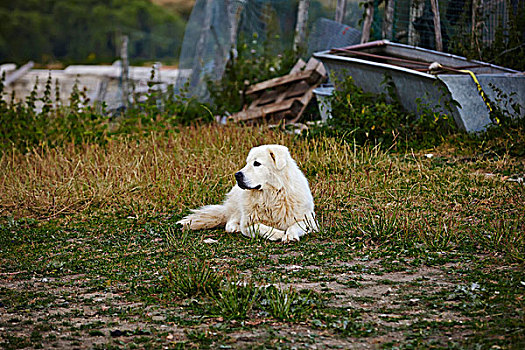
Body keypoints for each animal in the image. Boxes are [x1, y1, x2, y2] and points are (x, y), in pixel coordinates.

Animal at [176, 144, 318, 241]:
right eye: (247, 163)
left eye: (257, 163)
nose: (237, 175)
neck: (271, 195)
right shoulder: (248, 223)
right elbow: (260, 227)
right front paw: (277, 233)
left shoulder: (309, 221)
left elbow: (296, 225)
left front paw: (290, 235)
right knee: (230, 220)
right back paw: (234, 227)